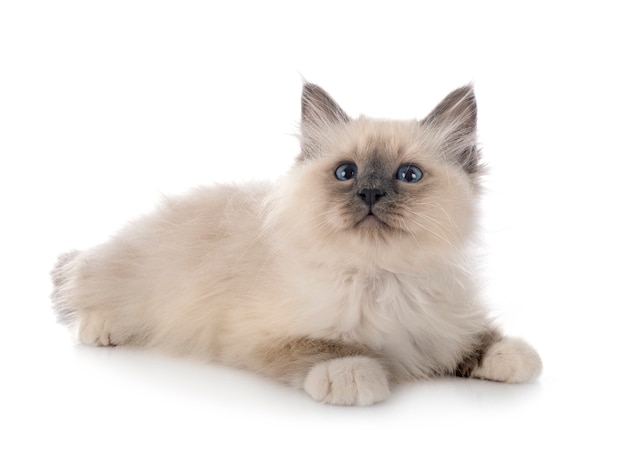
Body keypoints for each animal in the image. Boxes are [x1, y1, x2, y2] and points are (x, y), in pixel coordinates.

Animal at [51, 82, 540, 404]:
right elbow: (324, 349)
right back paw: (101, 329)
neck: (381, 278)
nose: (370, 194)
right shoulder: (261, 335)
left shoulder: (444, 326)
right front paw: (353, 375)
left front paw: (514, 355)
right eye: (346, 172)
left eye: (408, 175)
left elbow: (481, 340)